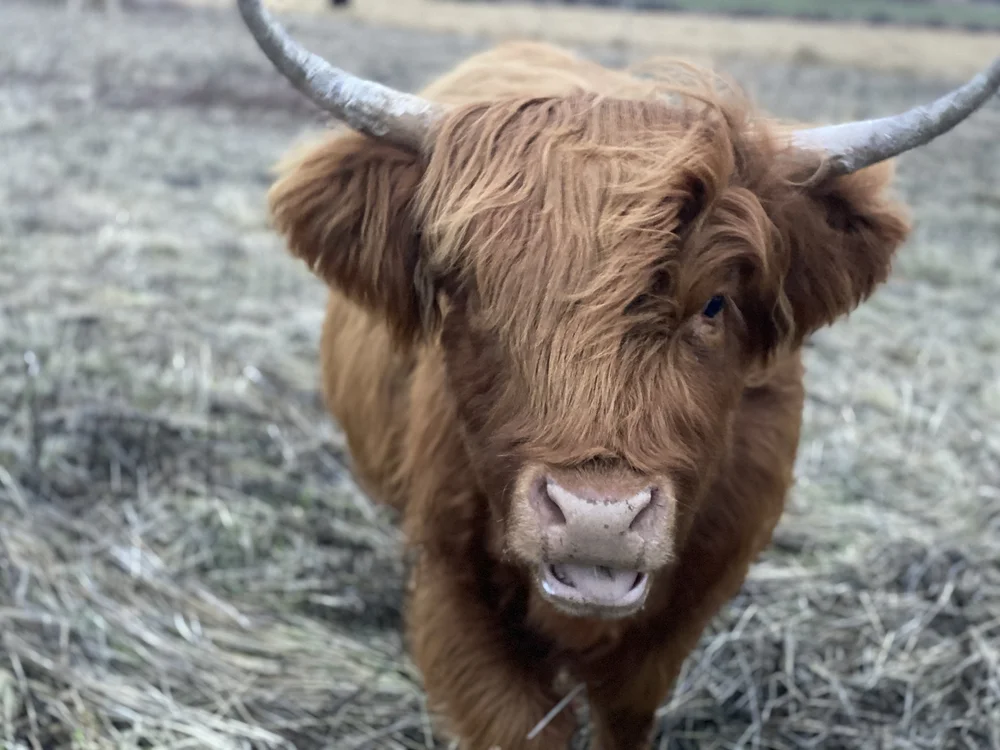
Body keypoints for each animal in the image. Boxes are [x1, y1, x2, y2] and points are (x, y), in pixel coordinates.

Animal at [236, 1, 1000, 747]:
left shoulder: (681, 617)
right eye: (470, 293)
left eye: (713, 303)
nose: (595, 518)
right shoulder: (458, 601)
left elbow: (625, 711)